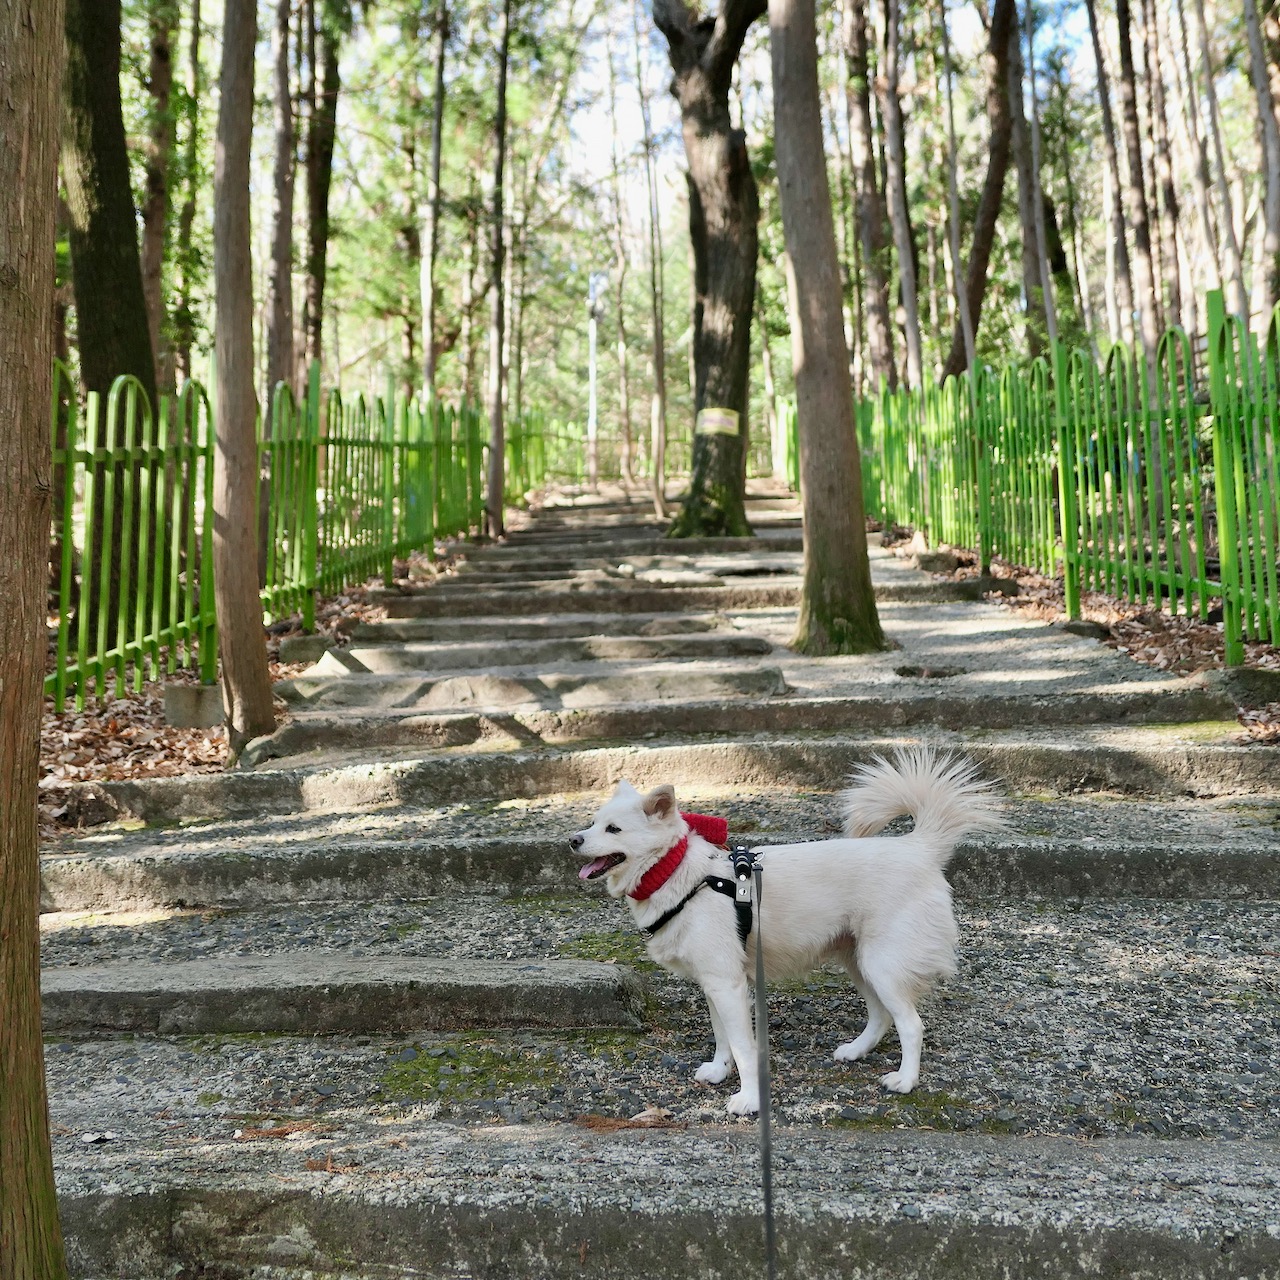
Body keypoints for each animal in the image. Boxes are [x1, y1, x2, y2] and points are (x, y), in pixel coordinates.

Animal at [568, 747, 998, 1116]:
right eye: (593, 823)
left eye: (613, 829)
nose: (573, 839)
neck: (678, 873)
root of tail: (918, 847)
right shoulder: (714, 983)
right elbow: (722, 1038)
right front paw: (719, 1072)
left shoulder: (727, 985)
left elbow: (743, 1048)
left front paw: (748, 1099)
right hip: (861, 963)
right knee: (881, 1016)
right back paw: (856, 1051)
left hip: (883, 965)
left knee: (910, 1025)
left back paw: (905, 1080)